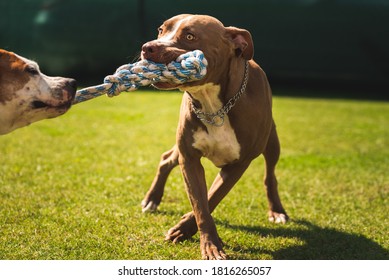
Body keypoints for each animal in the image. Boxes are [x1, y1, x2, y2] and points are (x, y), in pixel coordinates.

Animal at [140, 14, 288, 260]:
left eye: (190, 36)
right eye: (161, 30)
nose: (147, 47)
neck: (213, 103)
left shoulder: (238, 164)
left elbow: (212, 197)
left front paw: (186, 228)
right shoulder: (189, 158)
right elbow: (201, 205)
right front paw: (205, 241)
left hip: (272, 142)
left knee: (270, 175)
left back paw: (277, 211)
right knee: (167, 158)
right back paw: (152, 199)